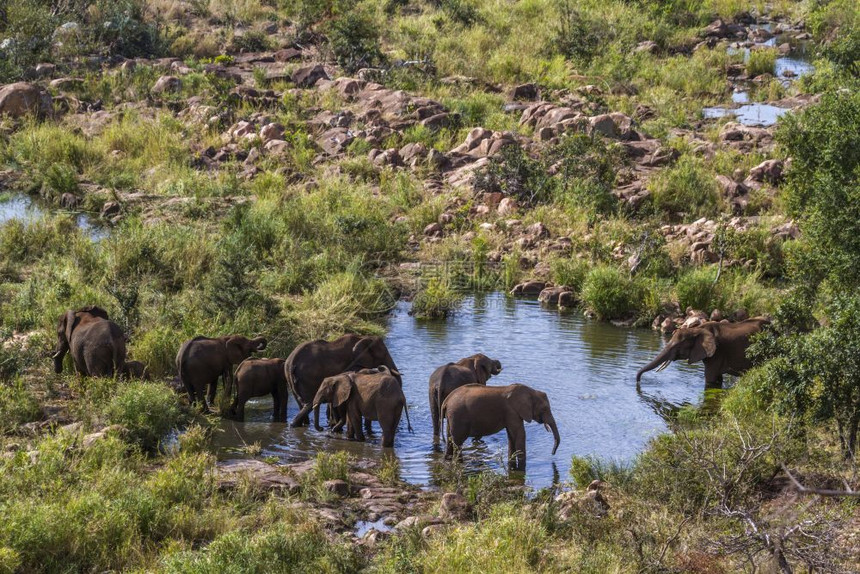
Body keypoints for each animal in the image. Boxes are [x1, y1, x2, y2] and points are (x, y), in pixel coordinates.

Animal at [636, 318, 768, 394]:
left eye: (678, 346)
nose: (638, 382)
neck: (697, 329)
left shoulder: (717, 352)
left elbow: (710, 379)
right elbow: (717, 380)